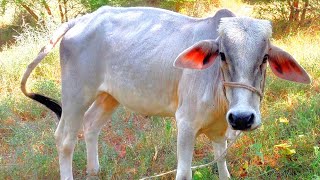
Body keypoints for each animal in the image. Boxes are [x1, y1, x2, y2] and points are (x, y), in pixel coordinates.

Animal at [20, 6, 310, 179]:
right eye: (222, 55)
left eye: (264, 58)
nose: (242, 118)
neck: (221, 97)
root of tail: (82, 19)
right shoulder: (186, 123)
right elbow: (184, 172)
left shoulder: (220, 129)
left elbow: (222, 165)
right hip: (75, 94)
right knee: (64, 139)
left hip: (109, 95)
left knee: (91, 125)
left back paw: (94, 170)